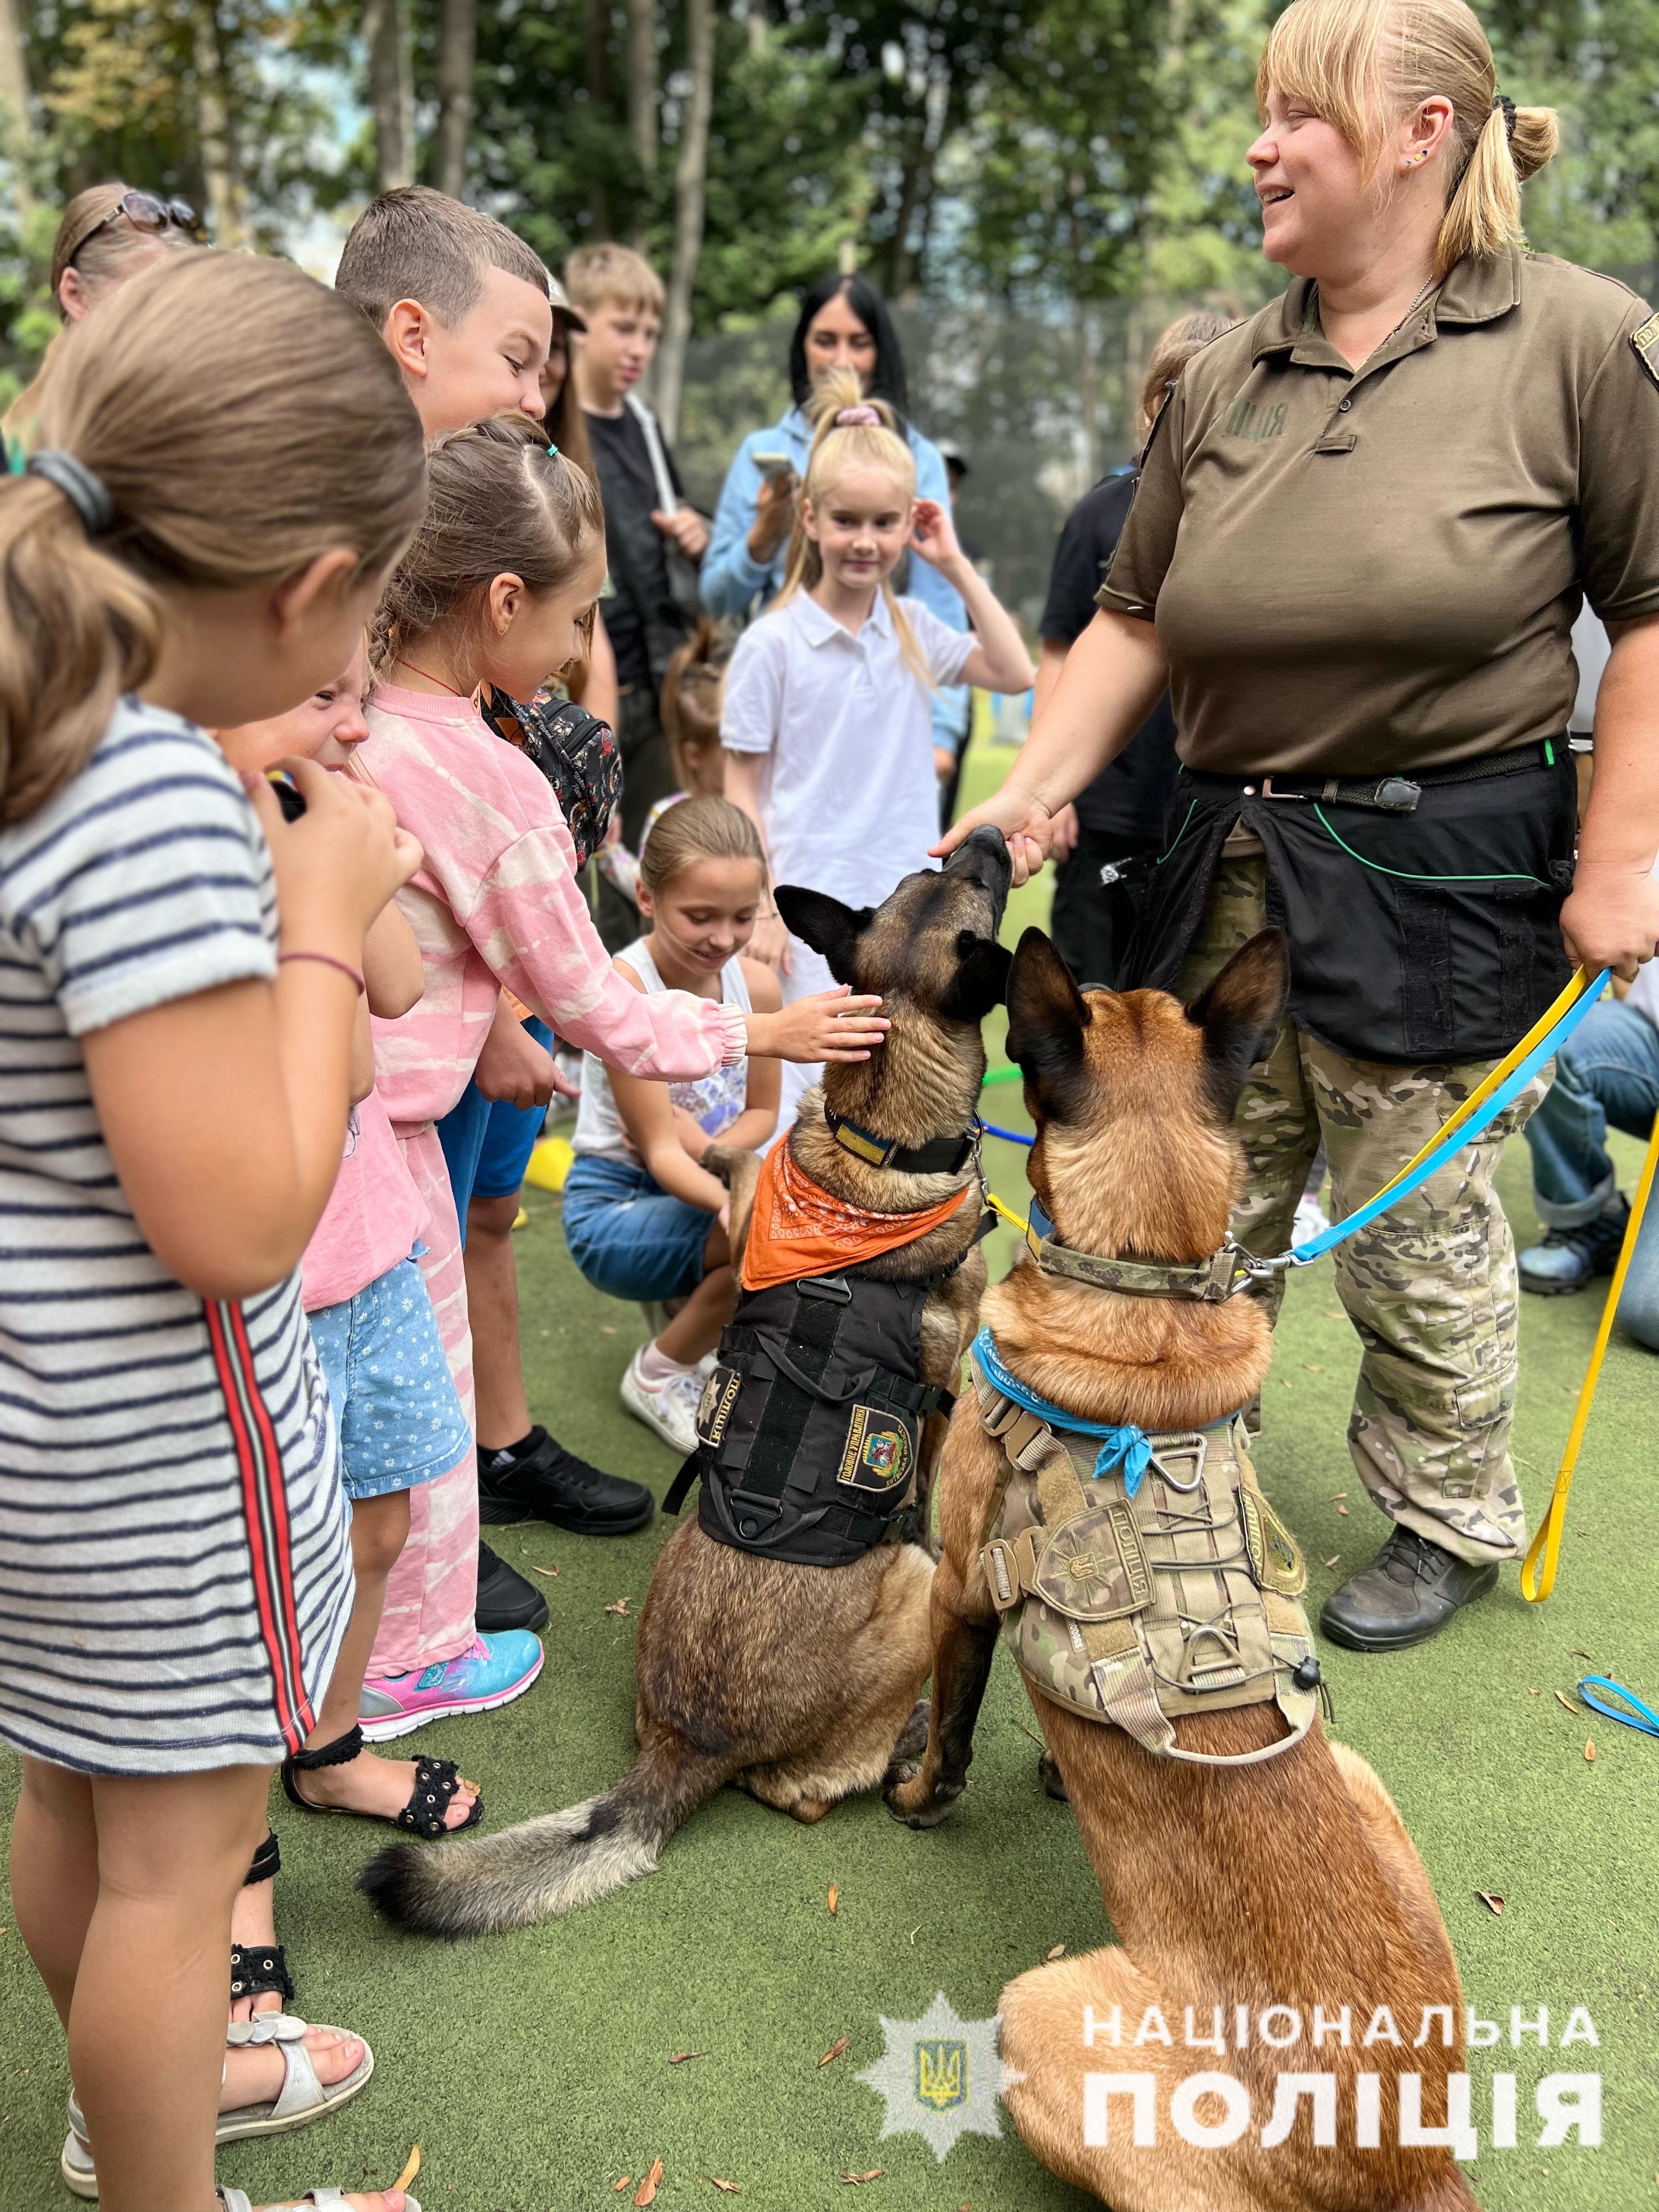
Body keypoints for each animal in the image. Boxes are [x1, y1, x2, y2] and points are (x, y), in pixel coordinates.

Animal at [361, 823, 1013, 1929]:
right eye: (975, 882)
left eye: (938, 875)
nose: (995, 832)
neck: (879, 1139)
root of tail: (688, 1745)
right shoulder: (943, 1396)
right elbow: (927, 1492)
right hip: (909, 1595)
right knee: (805, 1789)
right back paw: (909, 1742)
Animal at [898, 929, 1478, 2212]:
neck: (1144, 1282)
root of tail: (1409, 2167)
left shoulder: (961, 1585)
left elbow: (949, 1721)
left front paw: (916, 1798)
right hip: (1360, 1774)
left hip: (1036, 2008)